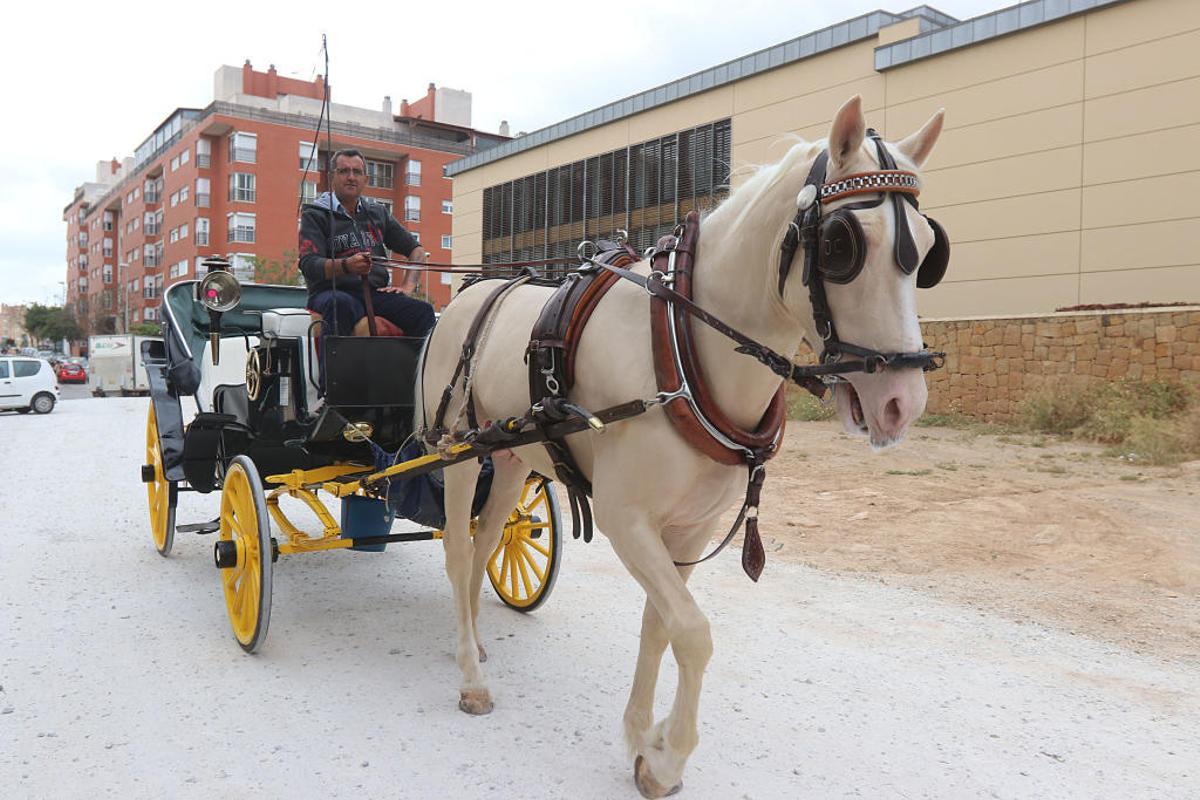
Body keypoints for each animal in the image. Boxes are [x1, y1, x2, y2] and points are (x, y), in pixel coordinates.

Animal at [417, 95, 946, 796]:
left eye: (928, 252)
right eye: (842, 245)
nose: (902, 401)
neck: (679, 342)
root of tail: (473, 292)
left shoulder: (691, 529)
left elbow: (660, 624)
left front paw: (645, 737)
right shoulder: (626, 520)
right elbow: (692, 631)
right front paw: (670, 754)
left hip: (506, 460)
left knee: (483, 545)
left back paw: (474, 642)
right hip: (456, 451)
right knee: (455, 551)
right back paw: (471, 677)